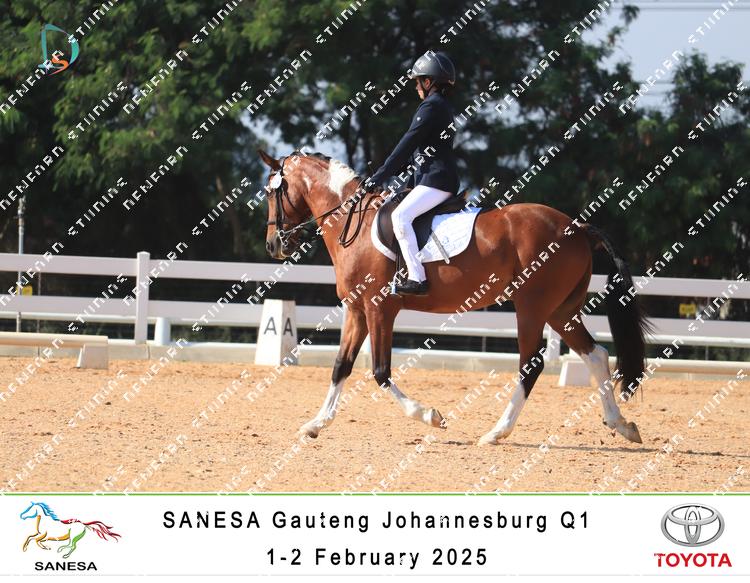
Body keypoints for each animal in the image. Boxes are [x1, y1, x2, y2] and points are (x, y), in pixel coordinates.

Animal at [257, 149, 649, 445]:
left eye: (272, 192)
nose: (274, 244)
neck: (355, 223)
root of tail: (577, 227)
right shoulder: (356, 309)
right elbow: (341, 366)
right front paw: (315, 424)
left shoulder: (379, 309)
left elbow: (381, 372)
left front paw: (430, 415)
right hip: (560, 311)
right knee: (595, 354)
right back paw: (621, 424)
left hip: (532, 307)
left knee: (532, 363)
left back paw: (496, 432)